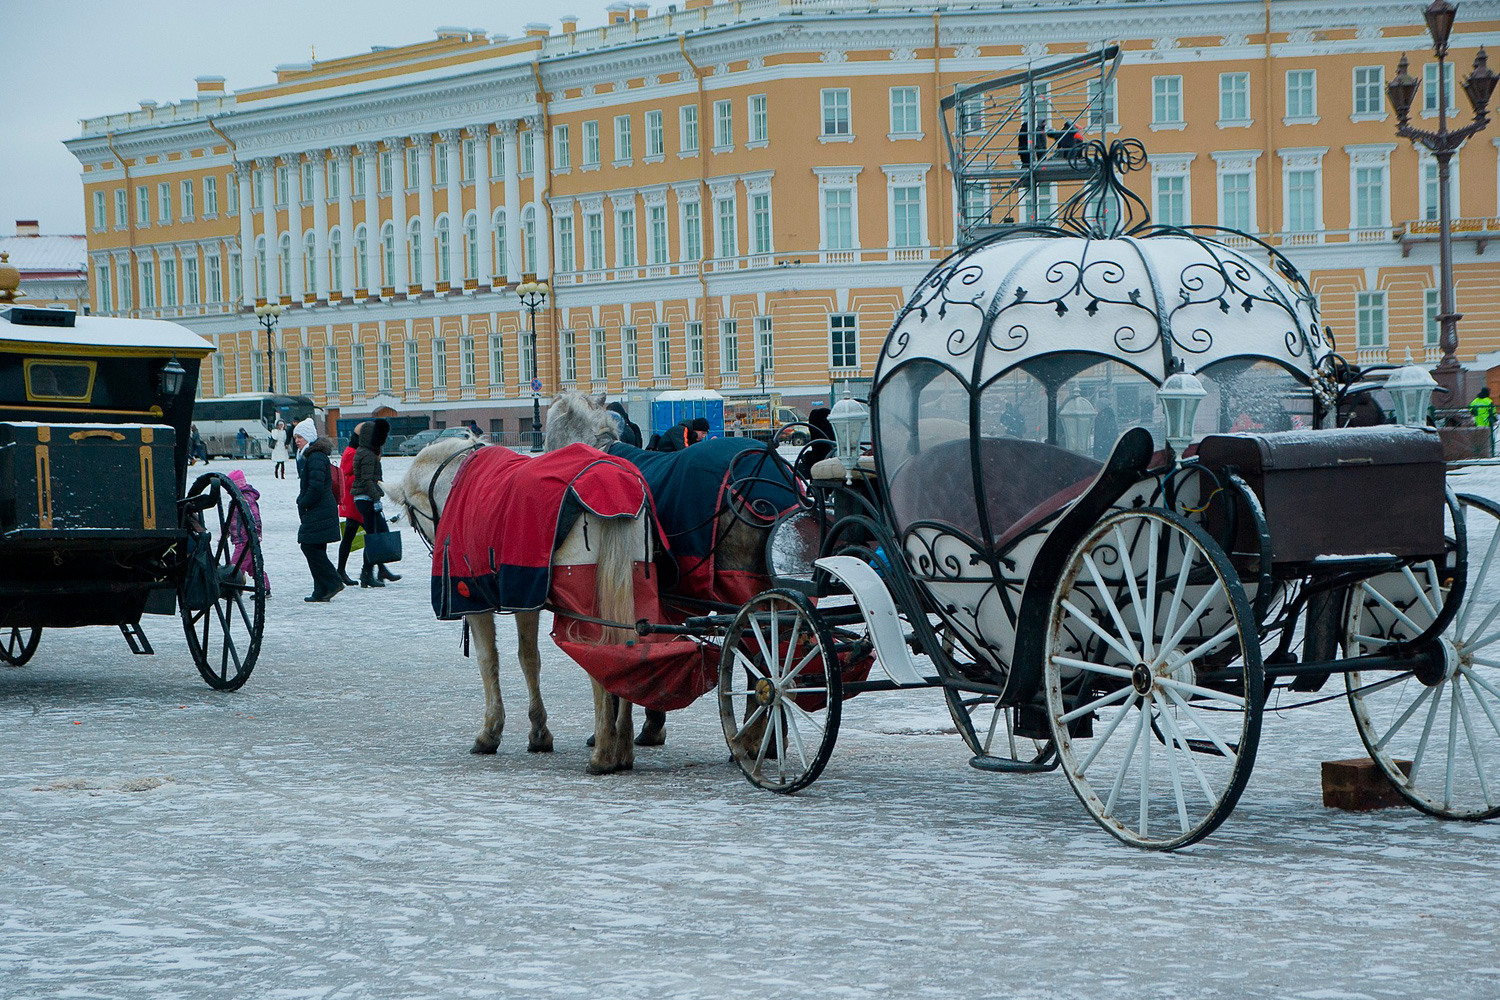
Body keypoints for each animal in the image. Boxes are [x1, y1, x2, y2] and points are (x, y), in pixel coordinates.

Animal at [387, 434, 645, 773]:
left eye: (411, 515)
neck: (455, 481)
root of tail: (614, 486)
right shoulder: (526, 596)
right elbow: (529, 659)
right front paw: (539, 732)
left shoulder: (475, 601)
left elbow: (488, 661)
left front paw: (490, 732)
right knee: (631, 651)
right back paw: (624, 746)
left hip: (586, 605)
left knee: (600, 658)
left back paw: (603, 752)